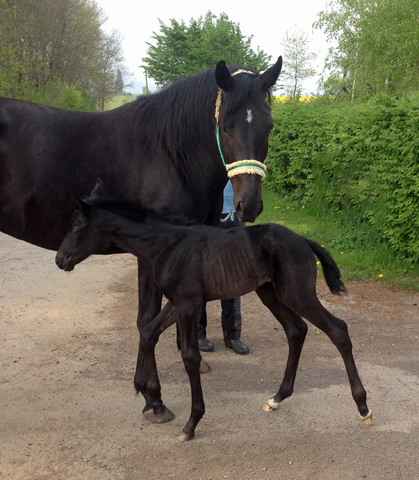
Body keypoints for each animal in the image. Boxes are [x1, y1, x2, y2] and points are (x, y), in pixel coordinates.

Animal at [55, 181, 370, 442]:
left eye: (77, 228)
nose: (60, 260)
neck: (167, 245)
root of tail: (304, 240)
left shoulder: (189, 304)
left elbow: (190, 357)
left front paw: (191, 423)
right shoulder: (178, 301)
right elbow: (148, 333)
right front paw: (153, 400)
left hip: (298, 294)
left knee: (337, 329)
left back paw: (363, 407)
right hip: (270, 293)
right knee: (296, 330)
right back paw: (277, 397)